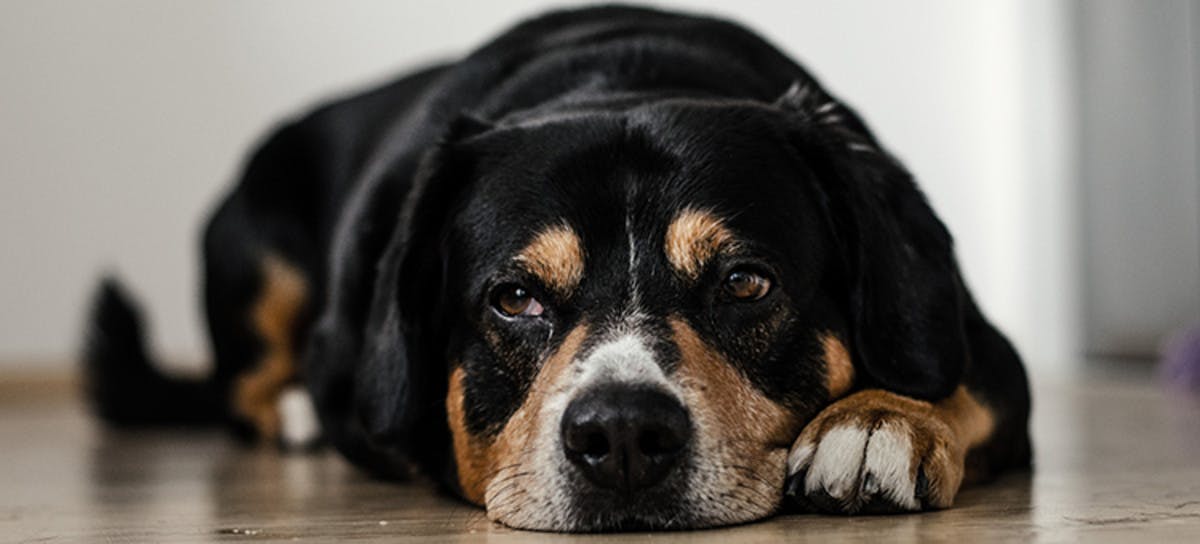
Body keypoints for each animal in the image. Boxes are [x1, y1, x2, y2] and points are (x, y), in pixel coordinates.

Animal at [87, 4, 1032, 530]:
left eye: (744, 283)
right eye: (514, 298)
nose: (622, 436)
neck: (622, 80)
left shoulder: (982, 343)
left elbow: (960, 381)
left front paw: (875, 421)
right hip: (255, 251)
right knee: (242, 385)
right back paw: (294, 414)